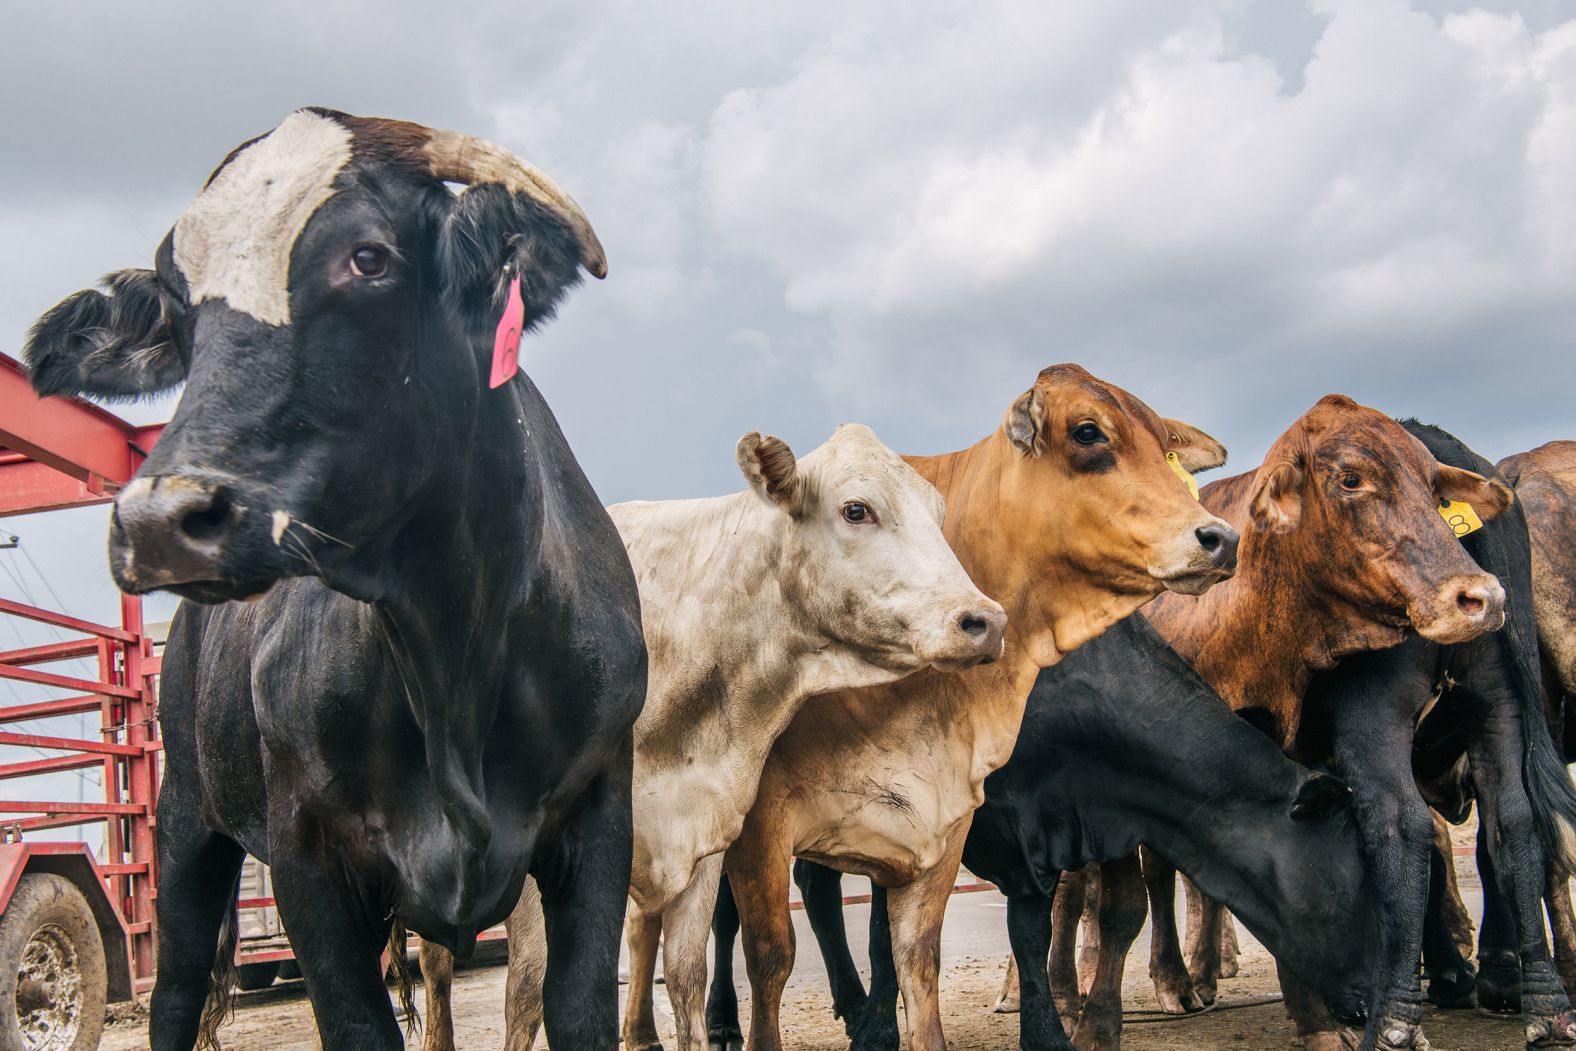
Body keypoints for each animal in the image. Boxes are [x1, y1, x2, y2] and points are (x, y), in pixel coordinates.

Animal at [23, 108, 646, 1051]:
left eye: (369, 257)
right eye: (175, 302)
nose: (159, 519)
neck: (452, 648)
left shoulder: (599, 818)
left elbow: (570, 1008)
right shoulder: (308, 858)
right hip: (186, 823)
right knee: (174, 993)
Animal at [419, 422, 1002, 1046]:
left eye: (938, 513)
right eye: (856, 509)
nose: (986, 620)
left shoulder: (701, 838)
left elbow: (685, 976)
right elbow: (528, 989)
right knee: (436, 962)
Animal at [718, 365, 1241, 1051]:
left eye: (1166, 446)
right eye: (1088, 432)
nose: (1221, 538)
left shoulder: (948, 816)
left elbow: (925, 949)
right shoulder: (761, 819)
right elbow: (774, 954)